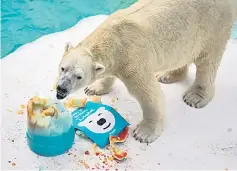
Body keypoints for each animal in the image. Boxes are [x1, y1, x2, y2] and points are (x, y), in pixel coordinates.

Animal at [56, 0, 237, 143]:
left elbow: (148, 93)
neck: (114, 37)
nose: (61, 89)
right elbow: (107, 74)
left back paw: (195, 96)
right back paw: (167, 75)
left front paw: (144, 133)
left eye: (79, 76)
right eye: (62, 68)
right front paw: (94, 88)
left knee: (208, 60)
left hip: (214, 24)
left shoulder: (133, 58)